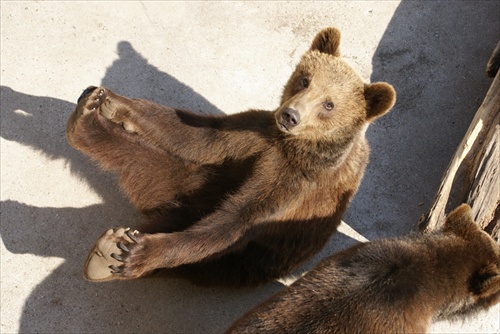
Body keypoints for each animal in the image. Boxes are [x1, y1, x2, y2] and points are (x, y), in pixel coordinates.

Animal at [66, 27, 396, 286]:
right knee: (144, 161)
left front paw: (136, 254)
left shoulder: (297, 184)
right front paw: (111, 101)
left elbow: (236, 221)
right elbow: (198, 135)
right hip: (195, 181)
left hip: (239, 260)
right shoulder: (256, 134)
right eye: (305, 80)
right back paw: (85, 121)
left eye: (329, 104)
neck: (295, 147)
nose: (290, 116)